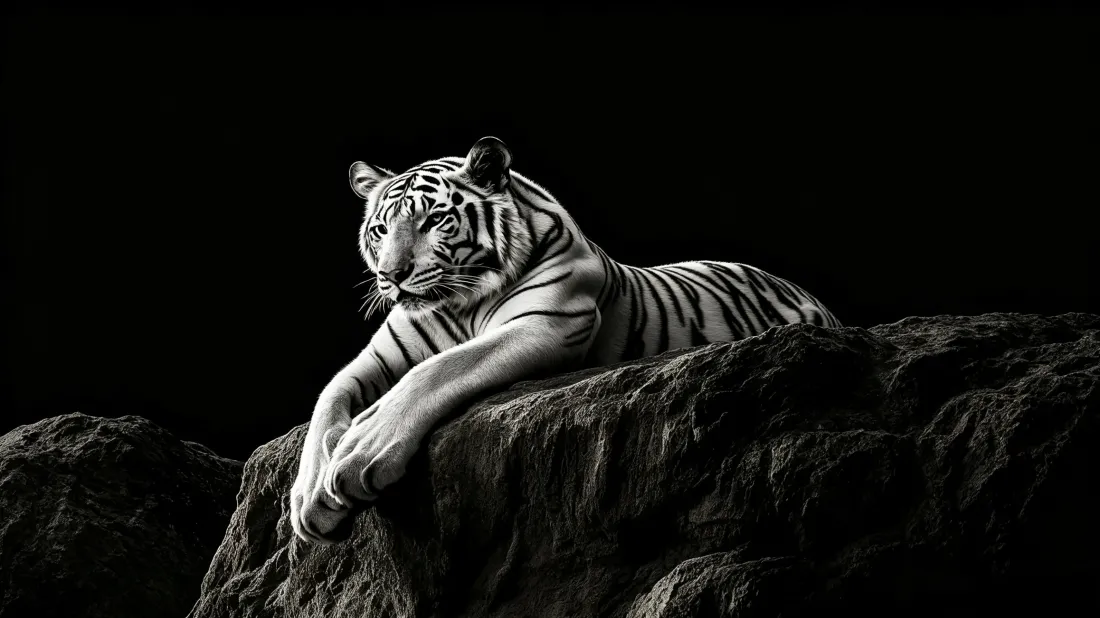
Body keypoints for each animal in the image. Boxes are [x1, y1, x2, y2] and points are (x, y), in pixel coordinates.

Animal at [291, 136, 841, 545]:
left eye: (434, 220)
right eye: (380, 229)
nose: (392, 276)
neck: (458, 303)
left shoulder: (547, 321)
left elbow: (438, 369)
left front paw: (361, 450)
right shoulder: (377, 356)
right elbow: (328, 399)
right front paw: (306, 499)